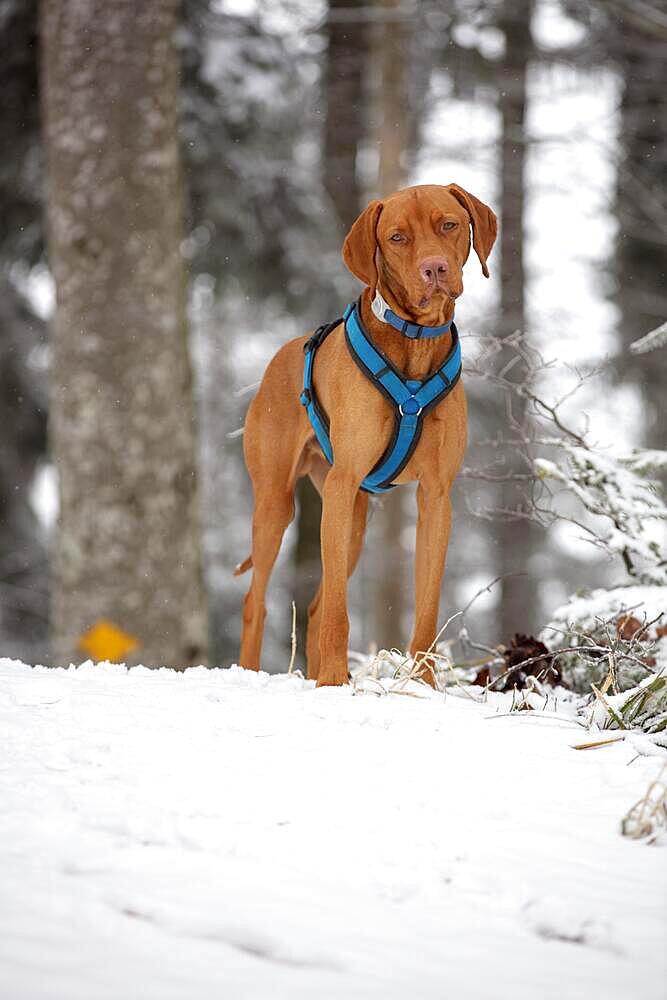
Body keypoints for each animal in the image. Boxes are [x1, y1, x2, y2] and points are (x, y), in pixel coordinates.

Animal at [235, 184, 496, 688]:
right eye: (397, 237)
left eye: (449, 225)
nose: (435, 268)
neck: (415, 340)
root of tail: (277, 356)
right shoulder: (343, 483)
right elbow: (340, 609)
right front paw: (335, 681)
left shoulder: (436, 497)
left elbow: (427, 606)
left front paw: (423, 685)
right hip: (281, 503)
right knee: (258, 601)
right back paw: (251, 674)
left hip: (352, 517)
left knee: (315, 607)